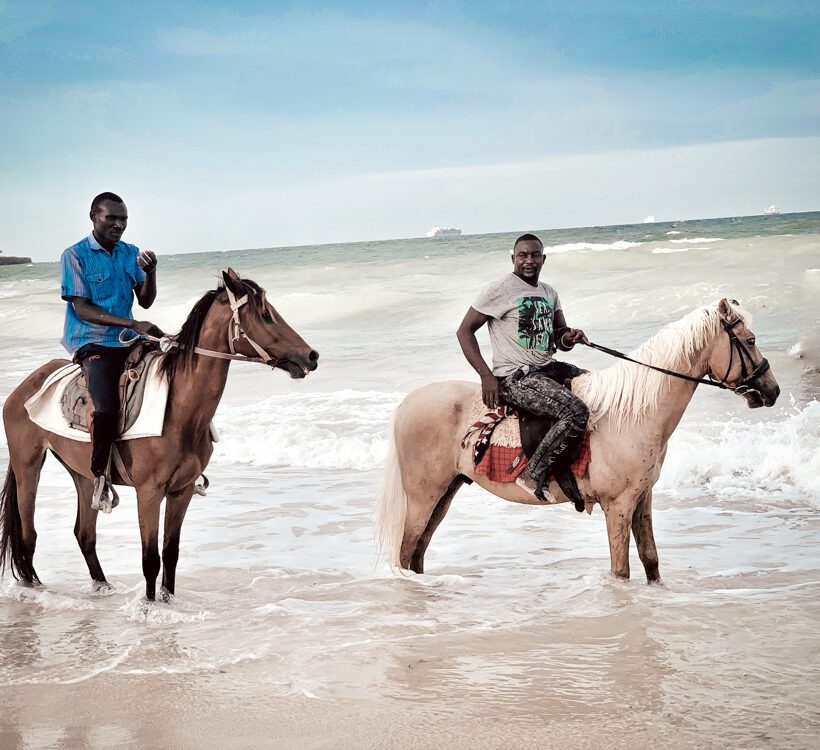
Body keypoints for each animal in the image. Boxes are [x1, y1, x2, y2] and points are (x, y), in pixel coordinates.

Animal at [0, 268, 318, 604]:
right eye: (266, 315)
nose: (311, 355)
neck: (180, 410)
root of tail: (24, 387)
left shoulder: (181, 491)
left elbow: (170, 553)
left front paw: (167, 601)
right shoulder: (149, 493)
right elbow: (150, 558)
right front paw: (150, 607)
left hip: (83, 474)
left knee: (84, 533)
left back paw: (102, 586)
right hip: (28, 465)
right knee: (28, 536)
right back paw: (32, 590)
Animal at [378, 302, 780, 584]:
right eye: (750, 341)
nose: (772, 391)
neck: (633, 413)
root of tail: (407, 403)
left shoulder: (642, 497)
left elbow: (651, 560)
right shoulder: (617, 505)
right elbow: (621, 571)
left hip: (445, 492)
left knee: (417, 554)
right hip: (423, 496)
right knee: (406, 552)